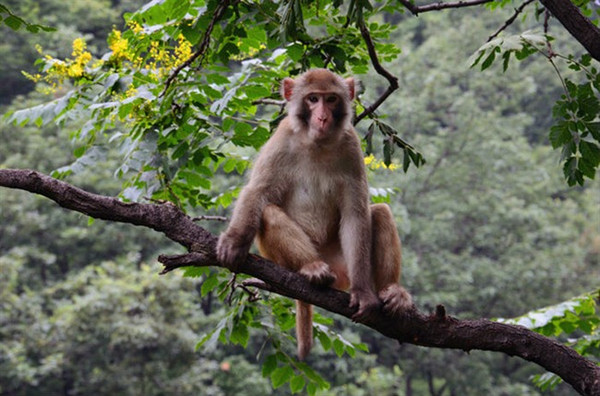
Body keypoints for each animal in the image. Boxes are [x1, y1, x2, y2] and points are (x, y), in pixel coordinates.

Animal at [217, 69, 412, 362]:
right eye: (312, 99)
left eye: (331, 99)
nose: (322, 117)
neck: (316, 142)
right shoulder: (281, 139)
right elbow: (258, 191)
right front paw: (234, 241)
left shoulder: (351, 145)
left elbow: (356, 215)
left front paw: (363, 292)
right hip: (281, 260)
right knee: (268, 212)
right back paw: (311, 267)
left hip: (341, 267)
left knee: (379, 213)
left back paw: (391, 291)